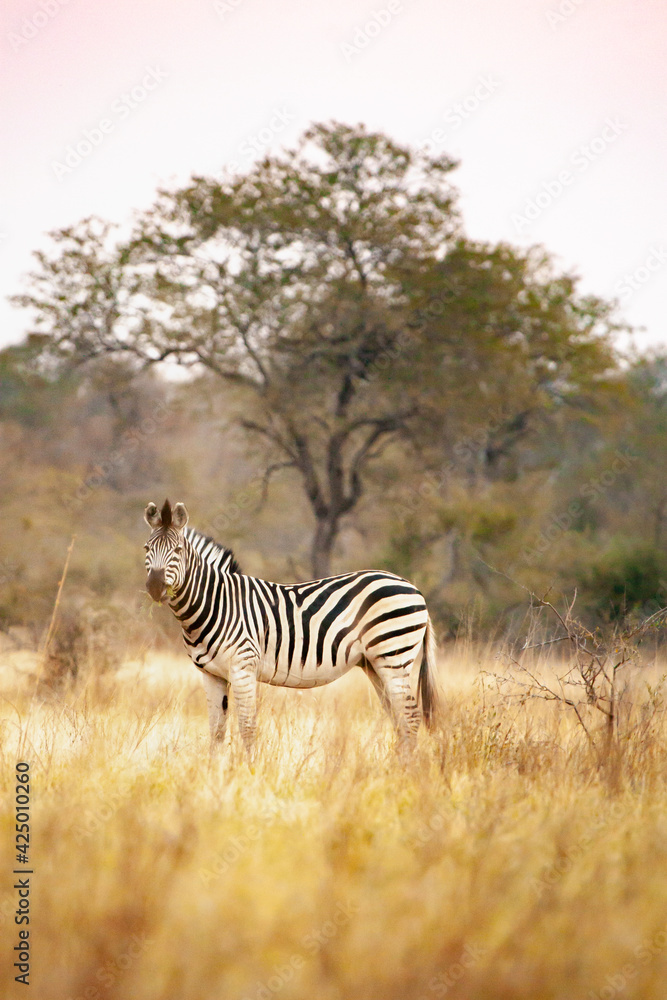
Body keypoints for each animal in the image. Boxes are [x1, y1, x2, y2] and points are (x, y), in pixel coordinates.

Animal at [144, 499, 439, 752]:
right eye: (147, 549)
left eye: (178, 551)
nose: (155, 587)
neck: (217, 603)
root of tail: (412, 587)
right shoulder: (211, 674)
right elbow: (217, 731)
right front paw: (215, 773)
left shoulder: (242, 668)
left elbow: (247, 728)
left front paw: (247, 772)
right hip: (375, 664)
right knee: (399, 719)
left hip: (394, 656)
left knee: (410, 718)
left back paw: (407, 772)